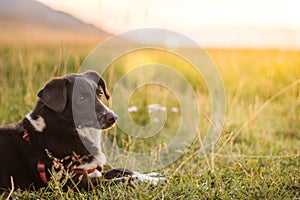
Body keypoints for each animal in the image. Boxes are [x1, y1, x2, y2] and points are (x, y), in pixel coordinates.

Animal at [0, 71, 164, 191]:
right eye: (81, 98)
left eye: (99, 94)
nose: (113, 117)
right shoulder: (77, 183)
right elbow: (126, 179)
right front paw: (154, 181)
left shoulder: (91, 171)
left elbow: (123, 170)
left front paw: (153, 176)